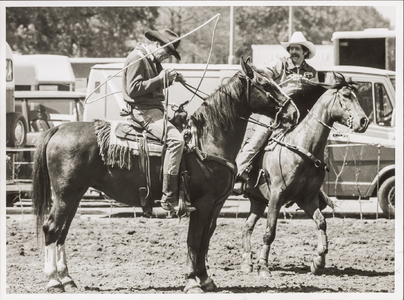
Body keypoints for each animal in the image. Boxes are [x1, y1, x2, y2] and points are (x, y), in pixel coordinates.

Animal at [32, 56, 300, 292]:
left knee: (62, 232)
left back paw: (67, 280)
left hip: (75, 195)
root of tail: (58, 128)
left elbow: (205, 240)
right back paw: (53, 281)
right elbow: (194, 240)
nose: (294, 113)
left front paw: (205, 279)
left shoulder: (216, 204)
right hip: (65, 194)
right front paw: (193, 282)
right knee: (51, 228)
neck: (208, 140)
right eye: (266, 85)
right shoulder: (202, 203)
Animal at [240, 72, 370, 276]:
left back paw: (246, 263)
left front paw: (318, 261)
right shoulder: (276, 196)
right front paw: (264, 267)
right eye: (346, 95)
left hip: (257, 200)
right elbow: (270, 232)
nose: (364, 121)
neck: (302, 147)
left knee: (247, 227)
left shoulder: (306, 198)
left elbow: (321, 222)